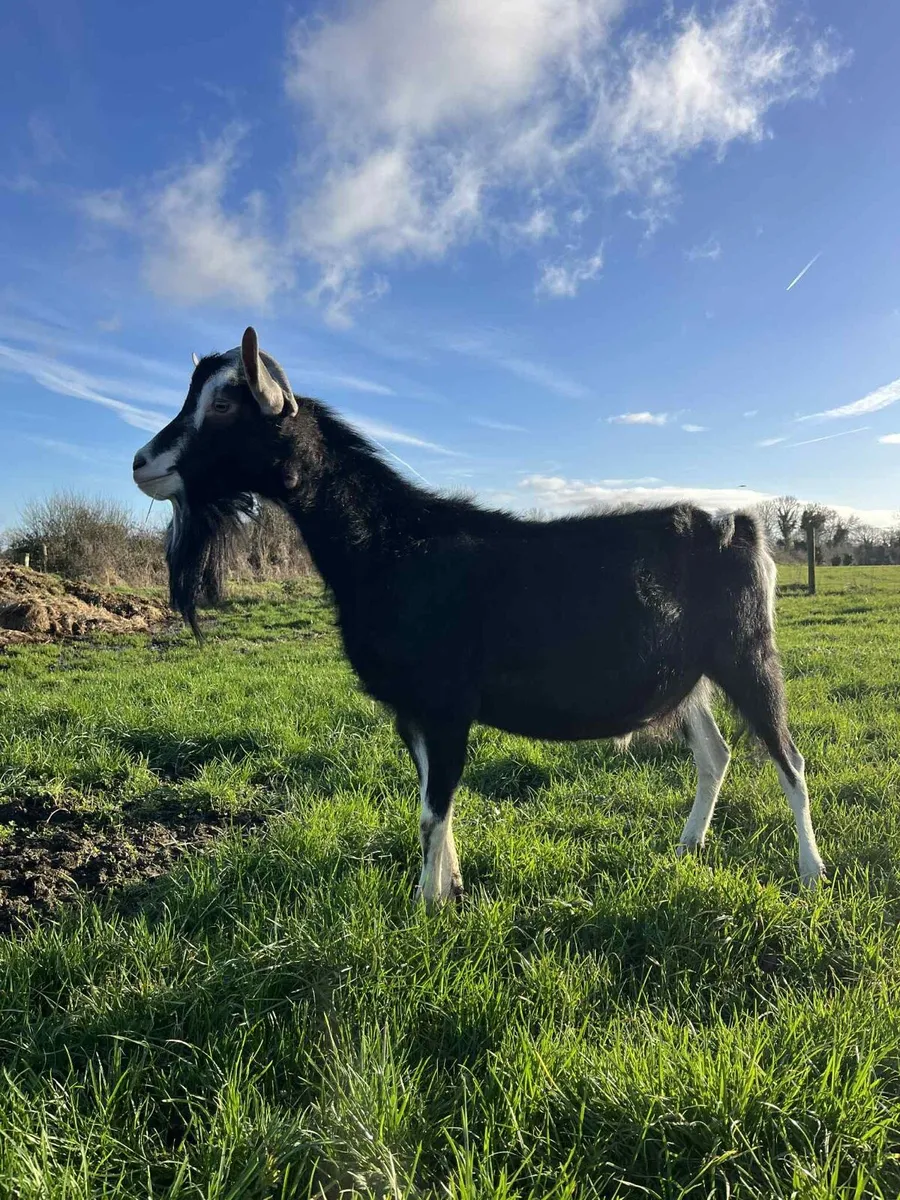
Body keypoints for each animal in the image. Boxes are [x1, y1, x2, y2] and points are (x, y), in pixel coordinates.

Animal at [133, 327, 826, 907]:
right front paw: (451, 888)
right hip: (692, 676)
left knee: (790, 760)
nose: (142, 463)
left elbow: (432, 811)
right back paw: (687, 847)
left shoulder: (446, 702)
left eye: (225, 405)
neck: (390, 545)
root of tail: (742, 527)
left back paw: (811, 873)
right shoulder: (412, 709)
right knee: (716, 755)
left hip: (747, 653)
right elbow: (432, 804)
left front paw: (423, 907)